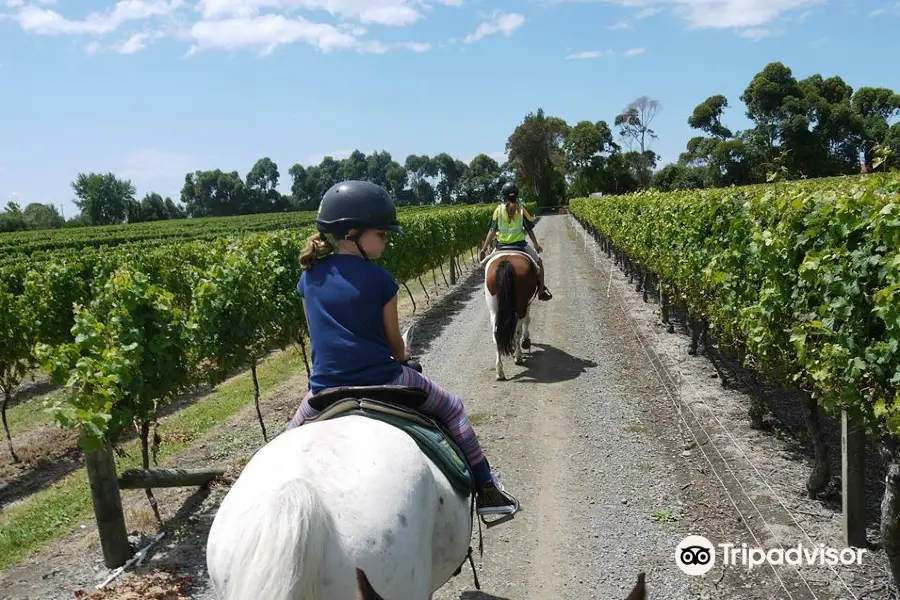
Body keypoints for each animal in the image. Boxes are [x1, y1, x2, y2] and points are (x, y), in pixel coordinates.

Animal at [482, 247, 536, 380]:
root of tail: (506, 262)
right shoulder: (528, 303)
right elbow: (527, 320)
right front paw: (526, 341)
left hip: (494, 309)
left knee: (496, 335)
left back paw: (499, 371)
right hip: (522, 305)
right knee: (517, 331)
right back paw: (518, 357)